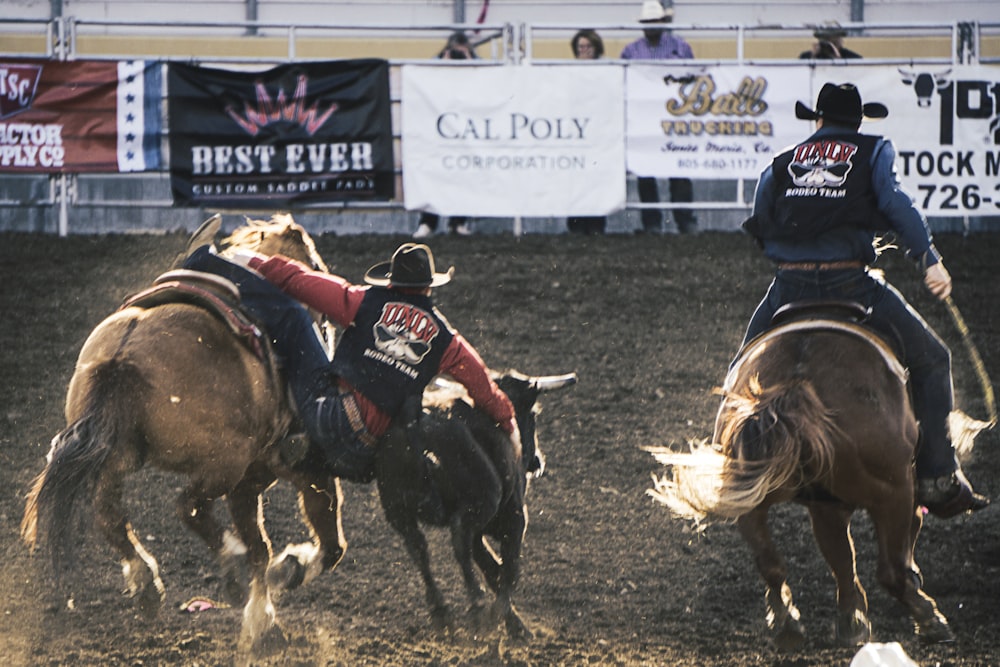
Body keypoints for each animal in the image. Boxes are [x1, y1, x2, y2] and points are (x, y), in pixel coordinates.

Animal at [20, 217, 348, 656]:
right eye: (315, 263)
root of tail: (122, 355)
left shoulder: (251, 479)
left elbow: (263, 548)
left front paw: (263, 618)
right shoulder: (285, 469)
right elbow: (318, 542)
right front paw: (282, 583)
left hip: (118, 457)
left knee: (111, 516)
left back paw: (148, 586)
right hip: (224, 462)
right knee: (187, 507)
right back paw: (228, 565)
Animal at [648, 318, 984, 652]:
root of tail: (794, 384)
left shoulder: (825, 506)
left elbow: (842, 561)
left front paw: (852, 621)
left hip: (748, 495)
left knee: (770, 563)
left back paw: (787, 623)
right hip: (893, 490)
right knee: (890, 570)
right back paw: (930, 619)